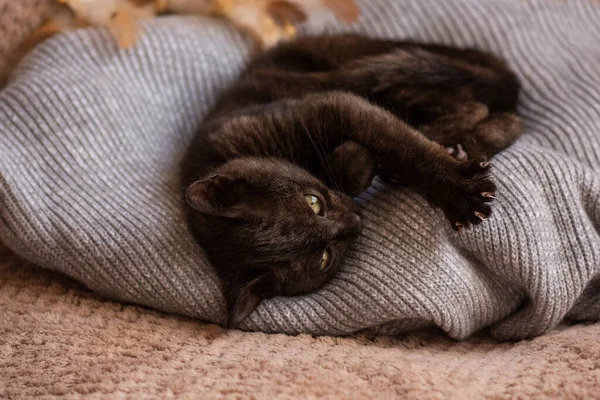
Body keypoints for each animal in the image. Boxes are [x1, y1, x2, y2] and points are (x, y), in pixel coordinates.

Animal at [180, 33, 524, 328]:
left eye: (313, 203)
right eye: (324, 258)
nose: (355, 221)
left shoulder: (334, 106)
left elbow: (402, 145)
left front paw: (460, 192)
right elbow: (359, 164)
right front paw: (358, 161)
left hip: (376, 73)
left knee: (477, 107)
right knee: (503, 117)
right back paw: (460, 147)